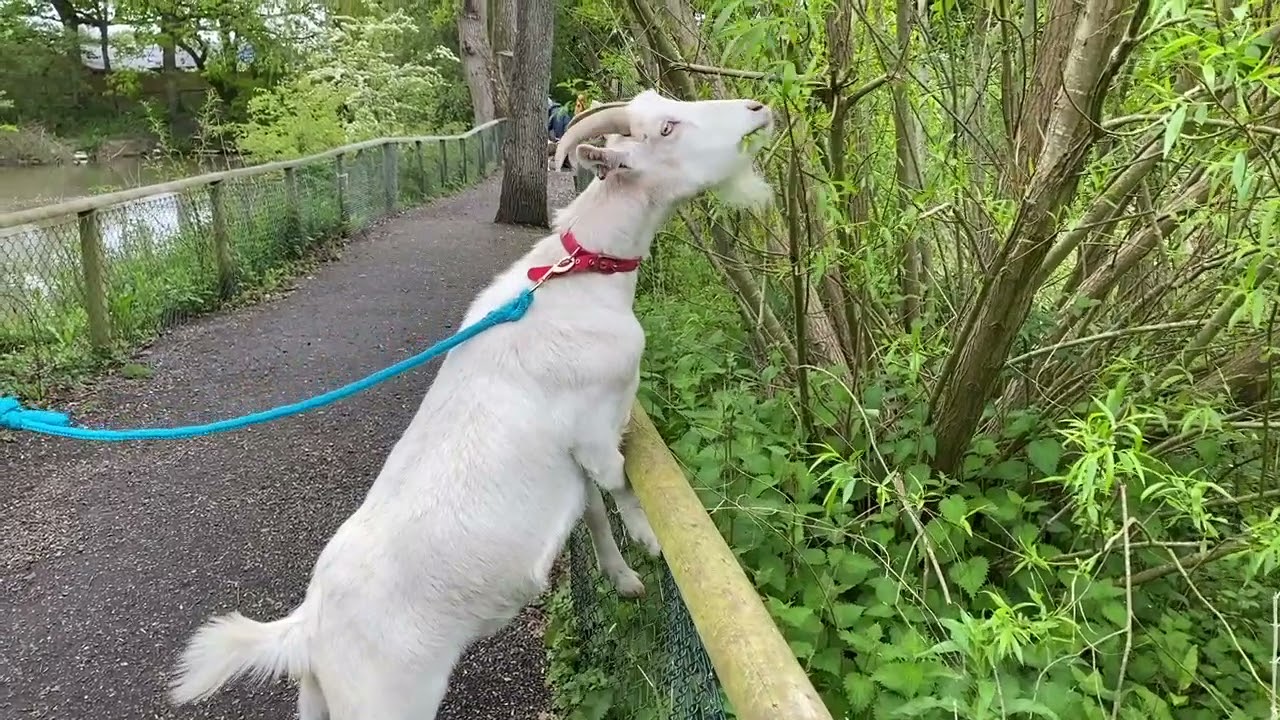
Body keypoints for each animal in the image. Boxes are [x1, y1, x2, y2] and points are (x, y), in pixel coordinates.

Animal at [166, 88, 775, 720]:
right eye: (667, 127)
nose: (758, 109)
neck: (574, 284)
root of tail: (306, 633)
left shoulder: (572, 458)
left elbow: (591, 509)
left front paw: (624, 579)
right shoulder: (593, 428)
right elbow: (619, 483)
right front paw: (651, 542)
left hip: (320, 702)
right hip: (387, 703)